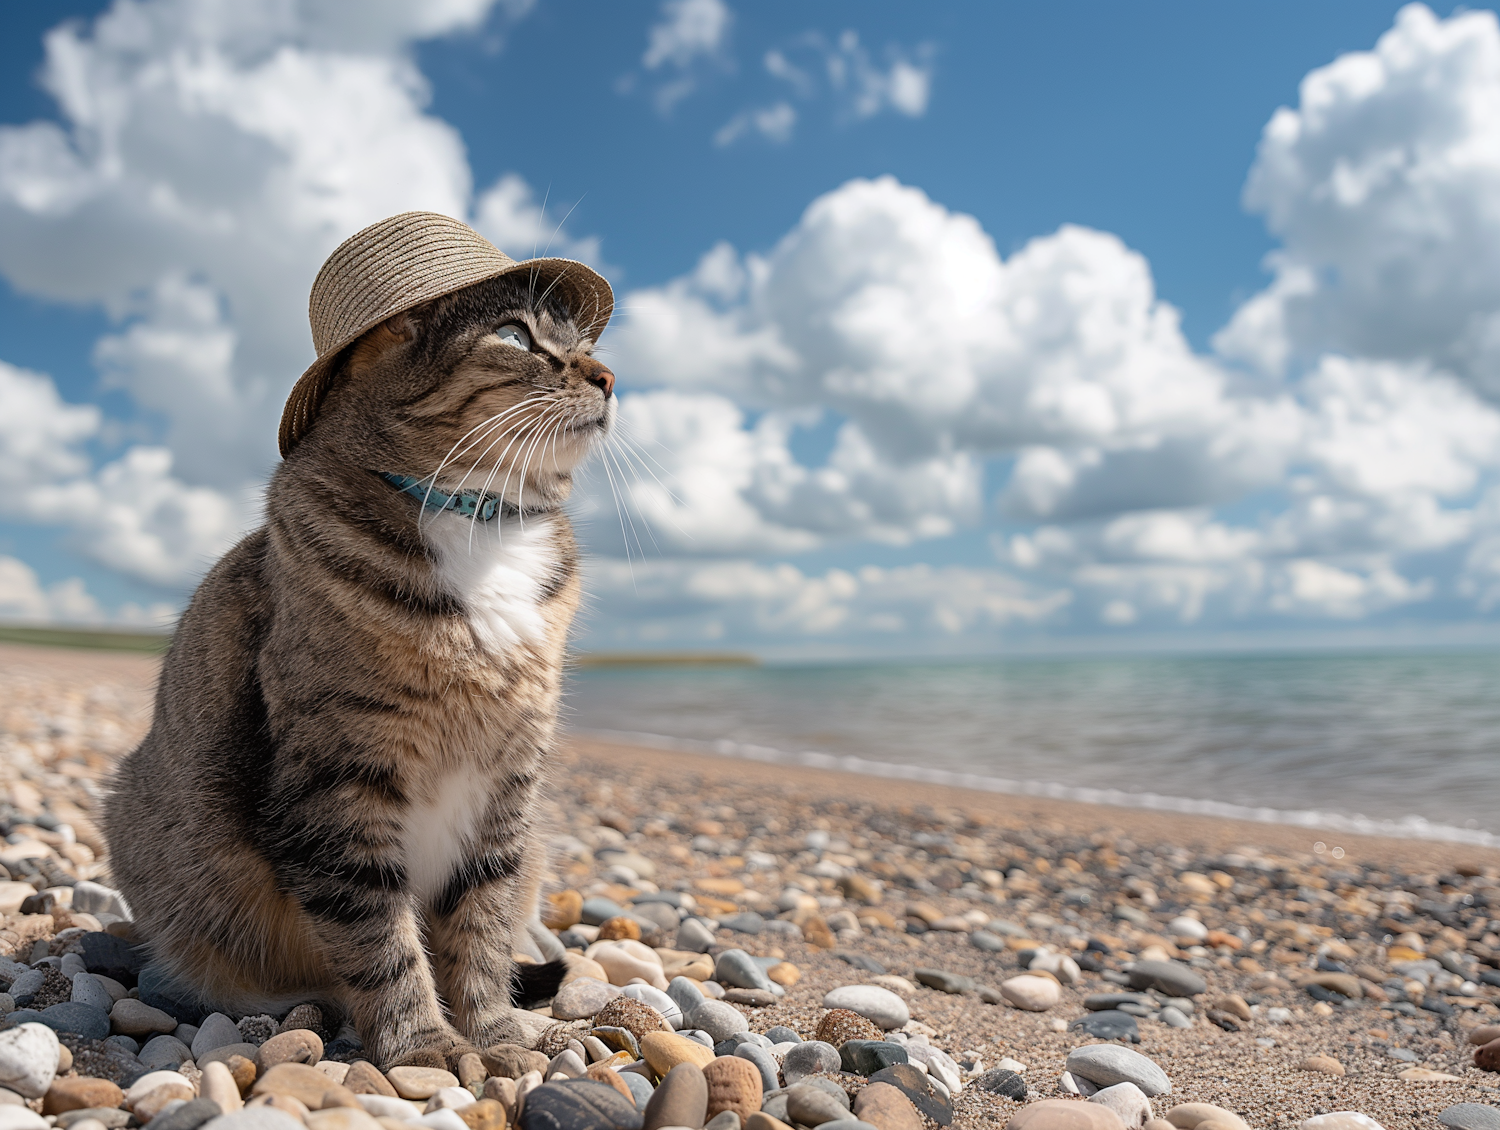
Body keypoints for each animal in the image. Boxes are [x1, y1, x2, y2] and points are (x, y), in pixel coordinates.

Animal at [104, 258, 615, 1068]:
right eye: (515, 336)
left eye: (588, 344)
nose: (609, 376)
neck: (477, 522)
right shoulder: (336, 786)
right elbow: (379, 937)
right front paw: (424, 1047)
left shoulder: (508, 789)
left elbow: (483, 924)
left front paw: (493, 1032)